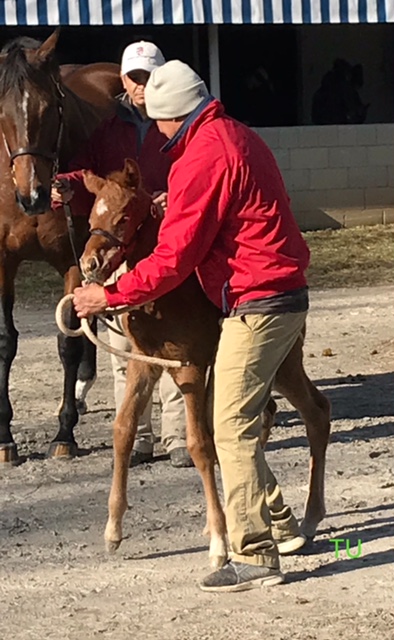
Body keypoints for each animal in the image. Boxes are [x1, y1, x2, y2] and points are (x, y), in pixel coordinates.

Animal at [0, 30, 121, 462]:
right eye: (1, 113)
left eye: (52, 107)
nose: (33, 195)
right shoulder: (3, 261)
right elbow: (6, 341)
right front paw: (5, 437)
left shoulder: (73, 259)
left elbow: (67, 342)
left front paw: (64, 433)